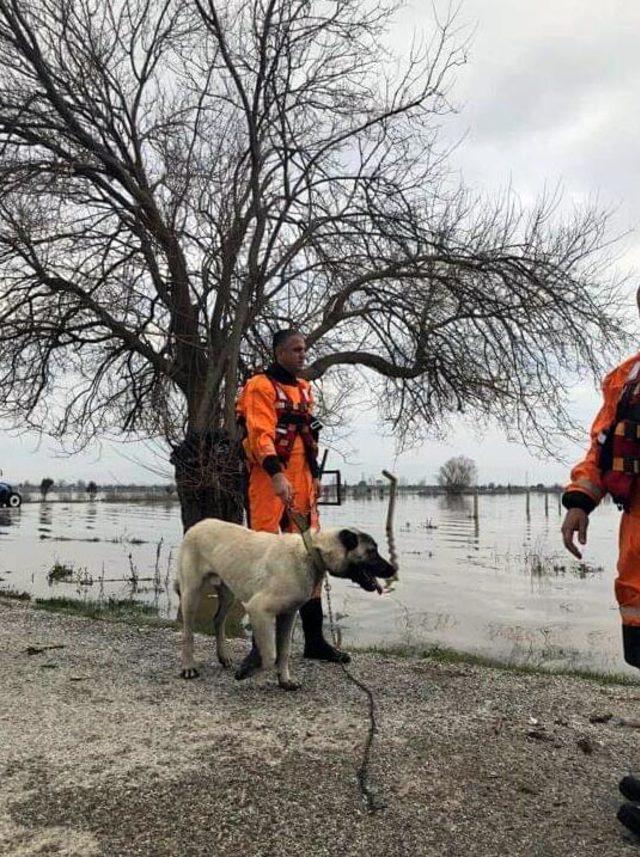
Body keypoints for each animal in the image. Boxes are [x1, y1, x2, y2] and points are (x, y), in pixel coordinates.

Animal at [175, 516, 396, 688]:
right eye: (372, 551)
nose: (394, 569)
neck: (311, 553)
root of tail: (197, 525)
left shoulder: (287, 615)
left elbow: (284, 651)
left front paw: (284, 680)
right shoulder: (259, 609)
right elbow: (270, 655)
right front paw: (249, 668)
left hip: (229, 593)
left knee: (218, 620)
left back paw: (223, 656)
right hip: (191, 593)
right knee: (187, 632)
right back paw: (188, 666)